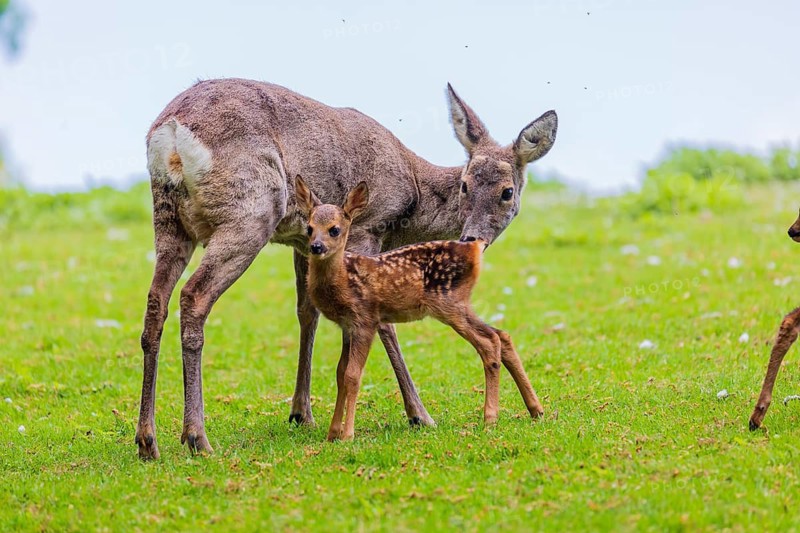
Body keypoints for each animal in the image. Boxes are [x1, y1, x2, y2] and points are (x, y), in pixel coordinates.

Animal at [295, 176, 544, 440]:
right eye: (309, 228)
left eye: (334, 229)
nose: (316, 246)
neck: (342, 280)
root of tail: (475, 248)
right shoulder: (347, 325)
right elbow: (341, 374)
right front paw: (332, 434)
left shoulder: (366, 318)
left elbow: (353, 375)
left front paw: (347, 435)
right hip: (459, 304)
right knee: (501, 335)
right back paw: (536, 410)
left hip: (450, 303)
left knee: (488, 342)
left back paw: (490, 418)